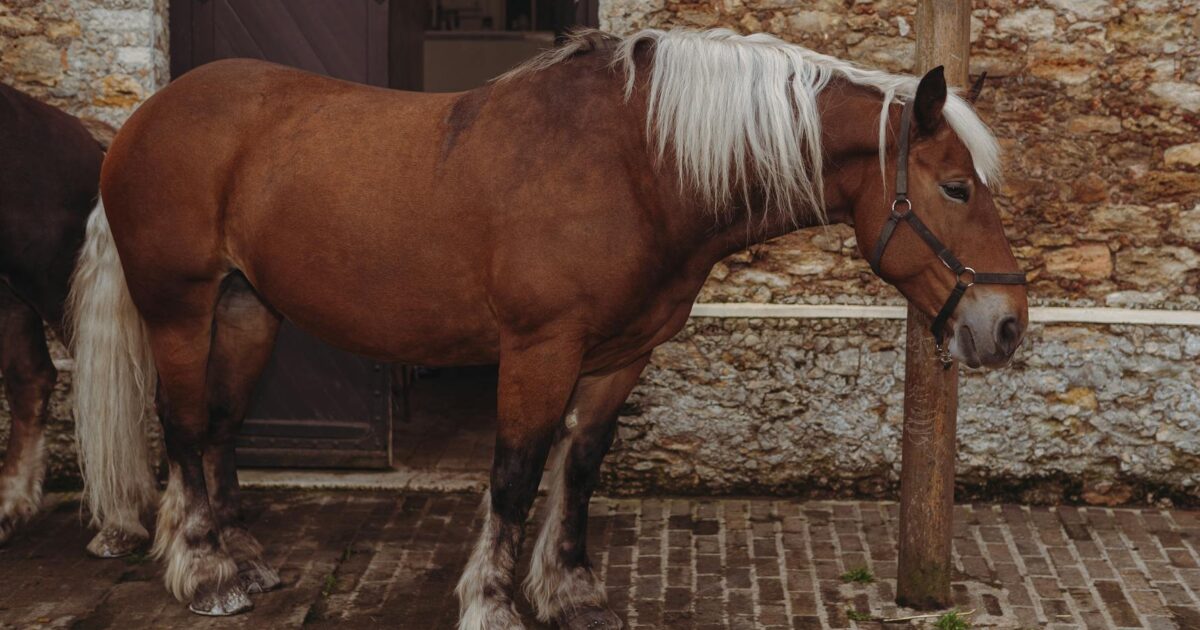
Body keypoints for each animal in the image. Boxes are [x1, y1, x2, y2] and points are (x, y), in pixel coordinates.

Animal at [69, 28, 1027, 628]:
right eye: (954, 187)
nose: (1008, 325)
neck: (637, 165)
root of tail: (145, 119)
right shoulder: (539, 350)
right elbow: (516, 473)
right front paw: (493, 603)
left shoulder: (619, 356)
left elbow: (581, 466)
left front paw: (572, 593)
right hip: (180, 308)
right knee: (184, 426)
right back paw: (204, 571)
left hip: (246, 311)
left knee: (220, 427)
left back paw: (241, 558)